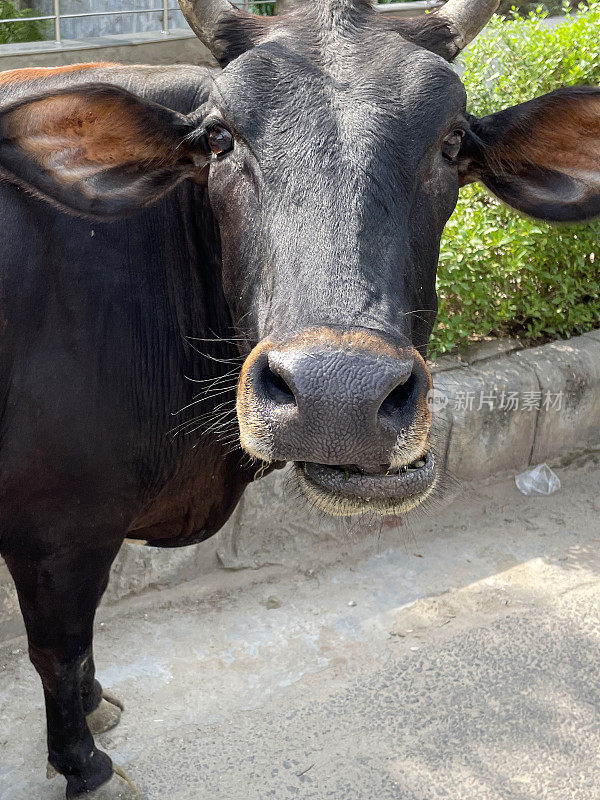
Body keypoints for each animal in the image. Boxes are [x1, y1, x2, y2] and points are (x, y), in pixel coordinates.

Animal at [0, 0, 596, 792]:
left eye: (451, 142)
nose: (337, 394)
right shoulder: (56, 532)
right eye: (221, 138)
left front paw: (97, 708)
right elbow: (58, 651)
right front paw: (83, 763)